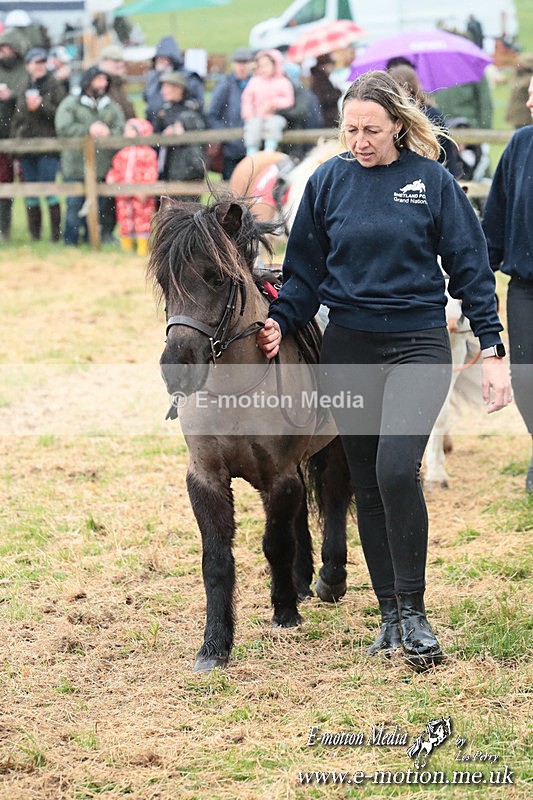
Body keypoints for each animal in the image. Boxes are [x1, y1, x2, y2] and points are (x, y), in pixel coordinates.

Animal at [147, 194, 352, 673]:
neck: (233, 395)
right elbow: (217, 560)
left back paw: (328, 579)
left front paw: (284, 613)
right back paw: (302, 580)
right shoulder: (206, 477)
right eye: (165, 282)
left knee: (334, 495)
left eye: (217, 278)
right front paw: (214, 646)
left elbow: (274, 542)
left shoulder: (279, 474)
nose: (176, 368)